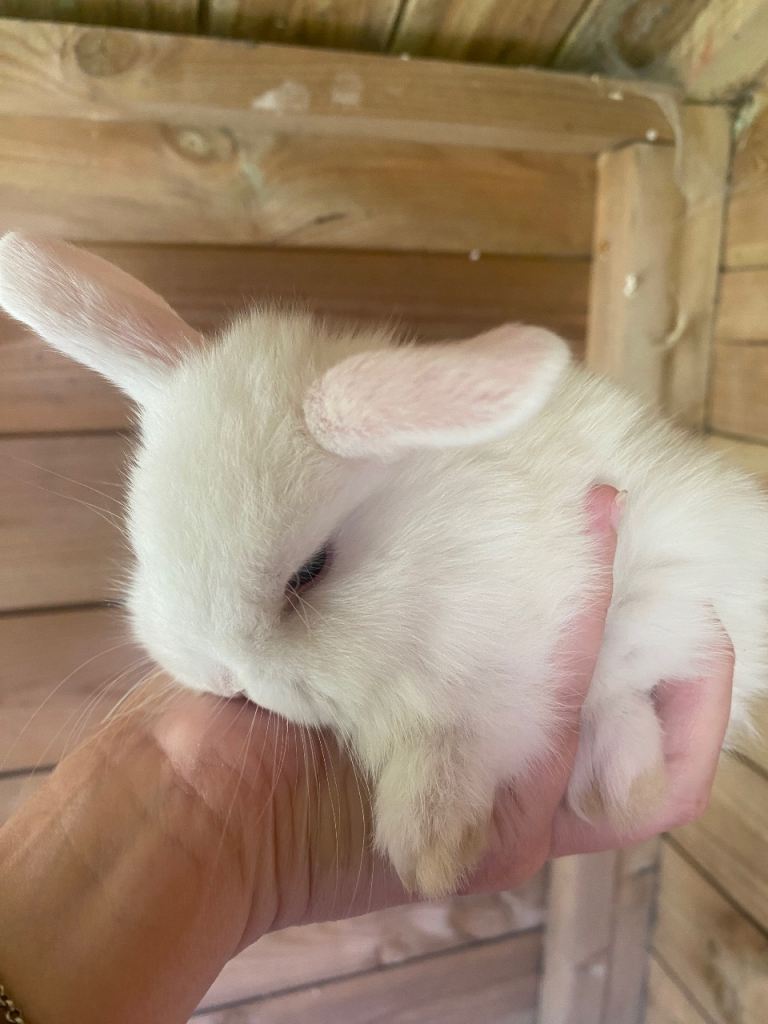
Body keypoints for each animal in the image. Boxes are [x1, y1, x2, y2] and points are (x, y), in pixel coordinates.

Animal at [1, 231, 766, 898]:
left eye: (311, 569)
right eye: (144, 545)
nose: (224, 676)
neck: (423, 558)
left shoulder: (513, 656)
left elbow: (458, 744)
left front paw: (431, 848)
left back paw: (621, 790)